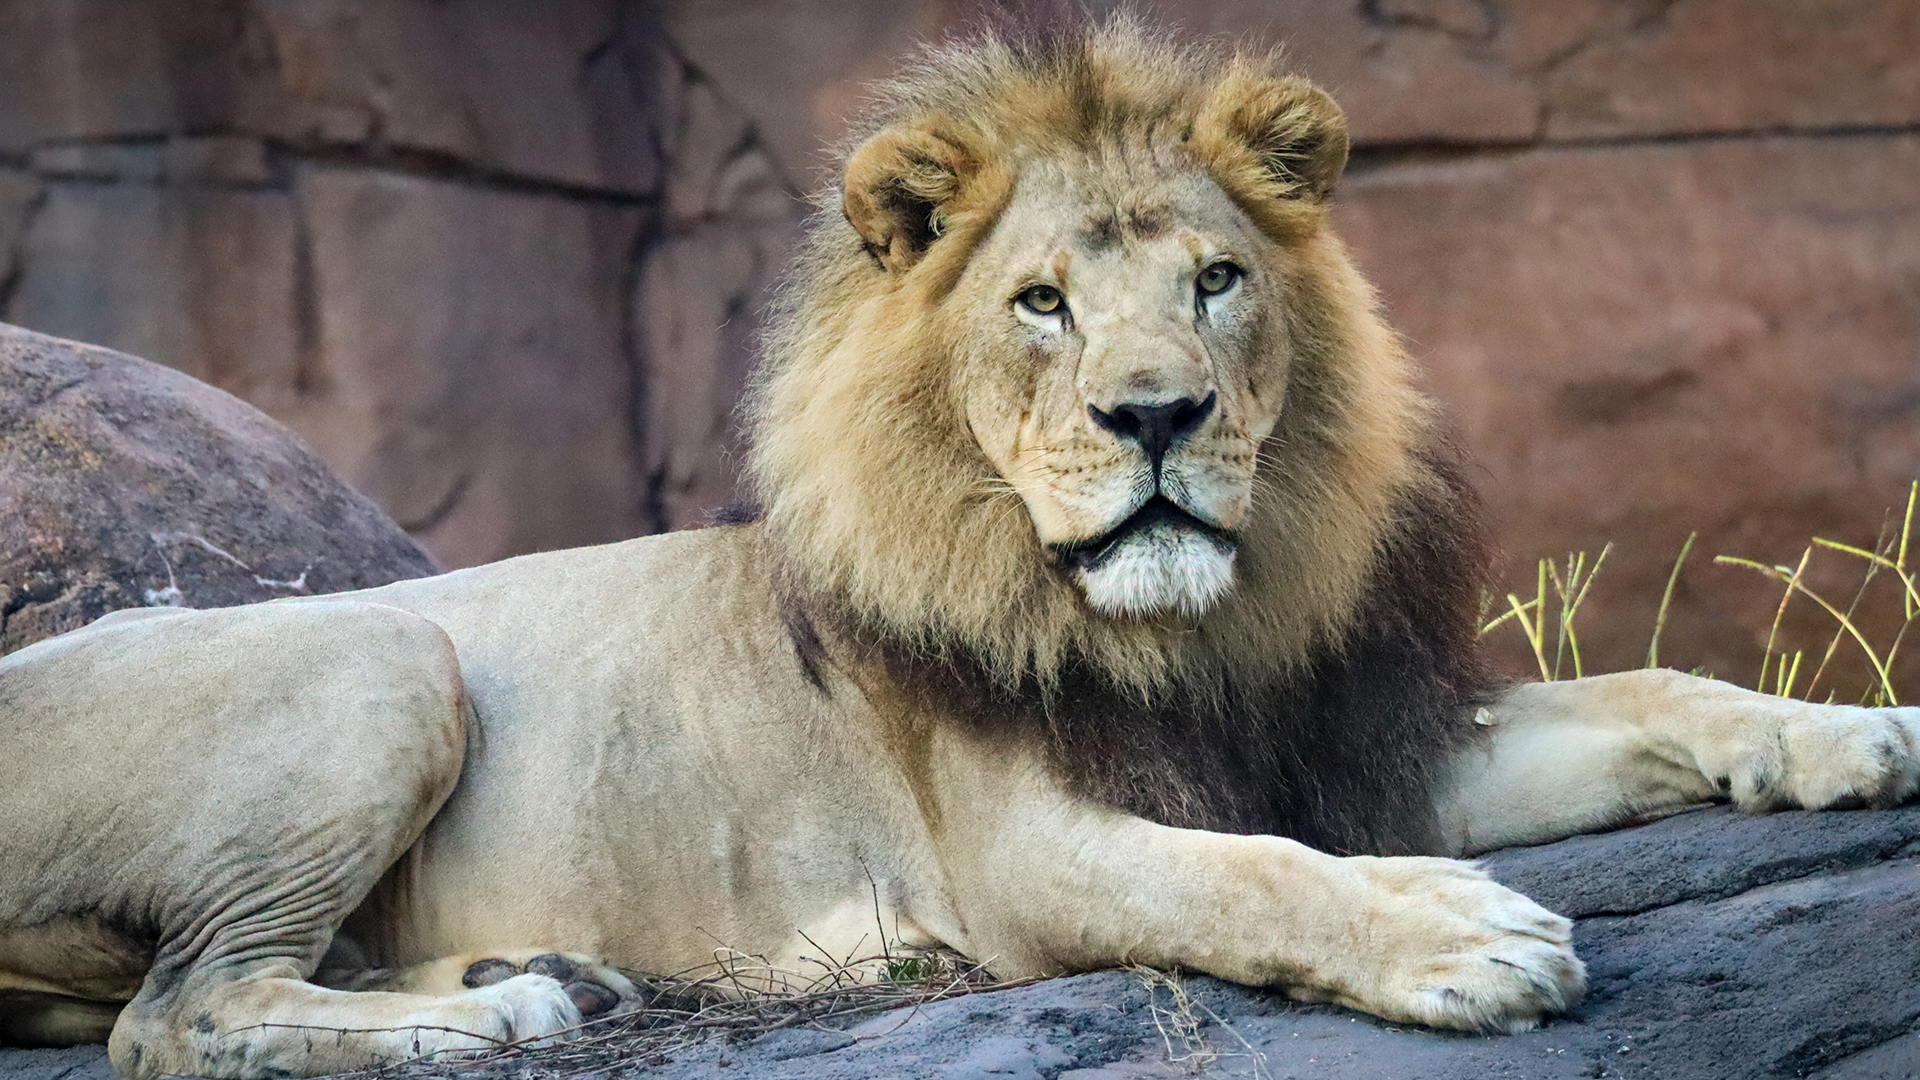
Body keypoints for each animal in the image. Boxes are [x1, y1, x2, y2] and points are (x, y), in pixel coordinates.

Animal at [5, 17, 1918, 1079]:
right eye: (1042, 304)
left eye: (1217, 279)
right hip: (388, 653)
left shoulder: (1344, 742)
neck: (1194, 631)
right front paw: (1466, 944)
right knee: (178, 1014)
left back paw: (532, 974)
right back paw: (495, 1022)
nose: (1159, 417)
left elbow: (1654, 687)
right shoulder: (1016, 858)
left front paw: (1855, 734)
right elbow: (1251, 881)